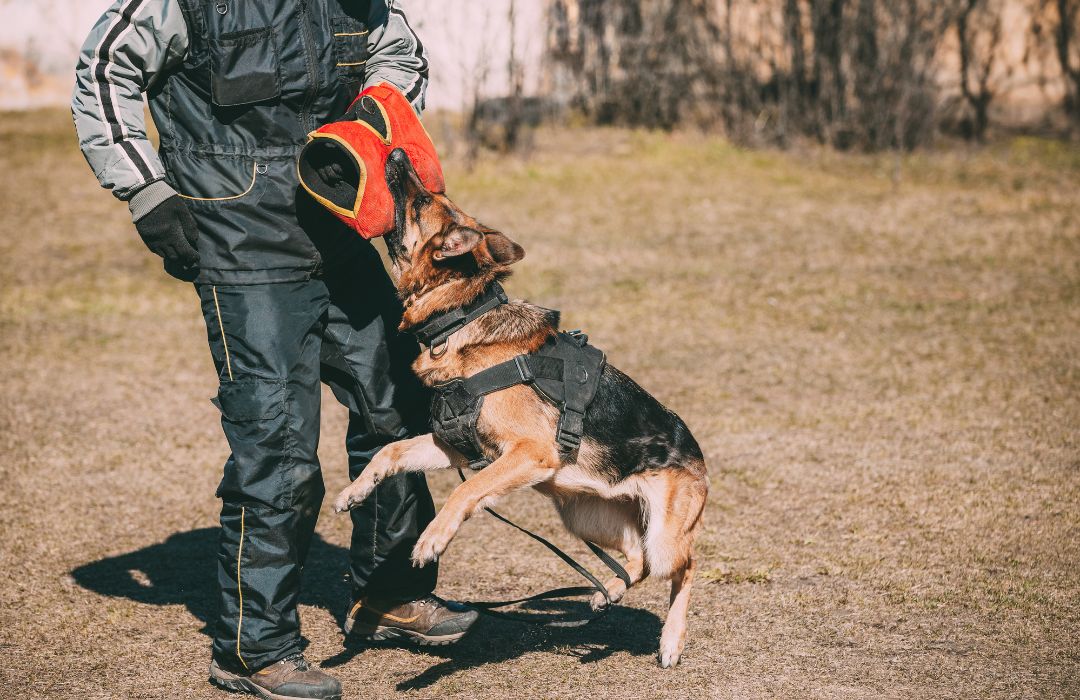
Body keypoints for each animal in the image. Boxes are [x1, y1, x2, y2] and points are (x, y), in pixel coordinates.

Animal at [336, 149, 708, 665]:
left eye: (422, 200)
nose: (396, 154)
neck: (461, 319)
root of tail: (698, 454)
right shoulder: (454, 446)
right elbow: (389, 452)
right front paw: (354, 491)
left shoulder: (527, 453)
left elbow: (465, 492)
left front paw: (432, 538)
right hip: (584, 514)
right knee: (636, 560)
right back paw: (606, 592)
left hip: (662, 537)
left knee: (685, 566)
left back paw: (671, 640)